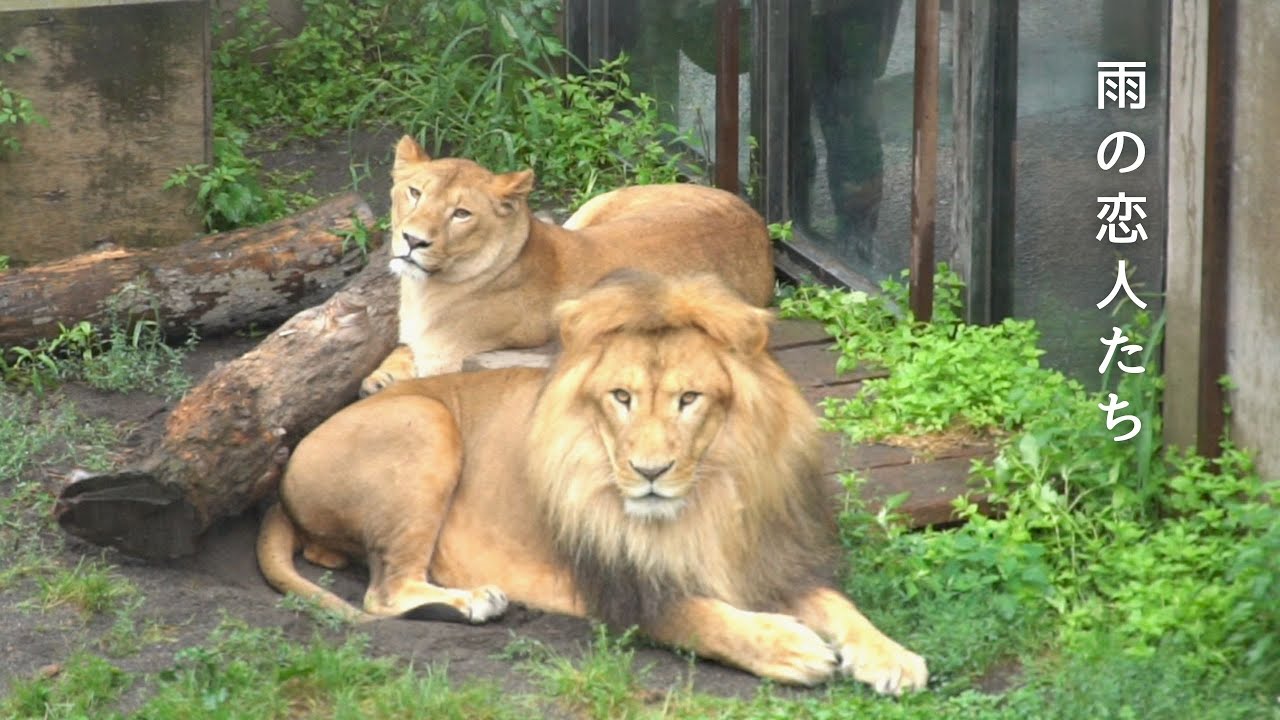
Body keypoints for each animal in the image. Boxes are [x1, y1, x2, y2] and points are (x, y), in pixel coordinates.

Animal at [259, 271, 927, 694]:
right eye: (621, 397)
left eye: (689, 399)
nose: (650, 472)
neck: (709, 500)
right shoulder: (623, 592)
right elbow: (707, 620)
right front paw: (793, 648)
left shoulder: (770, 561)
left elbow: (841, 606)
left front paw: (894, 657)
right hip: (426, 423)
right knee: (384, 591)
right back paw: (474, 601)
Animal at [358, 135, 775, 396]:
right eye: (415, 193)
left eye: (461, 214)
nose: (413, 241)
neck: (424, 289)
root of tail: (753, 214)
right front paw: (380, 376)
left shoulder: (449, 362)